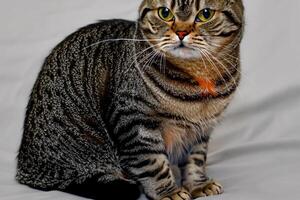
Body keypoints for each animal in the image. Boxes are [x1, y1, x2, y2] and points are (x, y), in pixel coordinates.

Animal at [15, 0, 244, 200]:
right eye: (165, 13)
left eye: (205, 14)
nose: (181, 32)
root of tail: (24, 169)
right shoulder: (134, 121)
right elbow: (153, 163)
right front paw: (167, 192)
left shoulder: (201, 129)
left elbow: (195, 159)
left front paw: (198, 185)